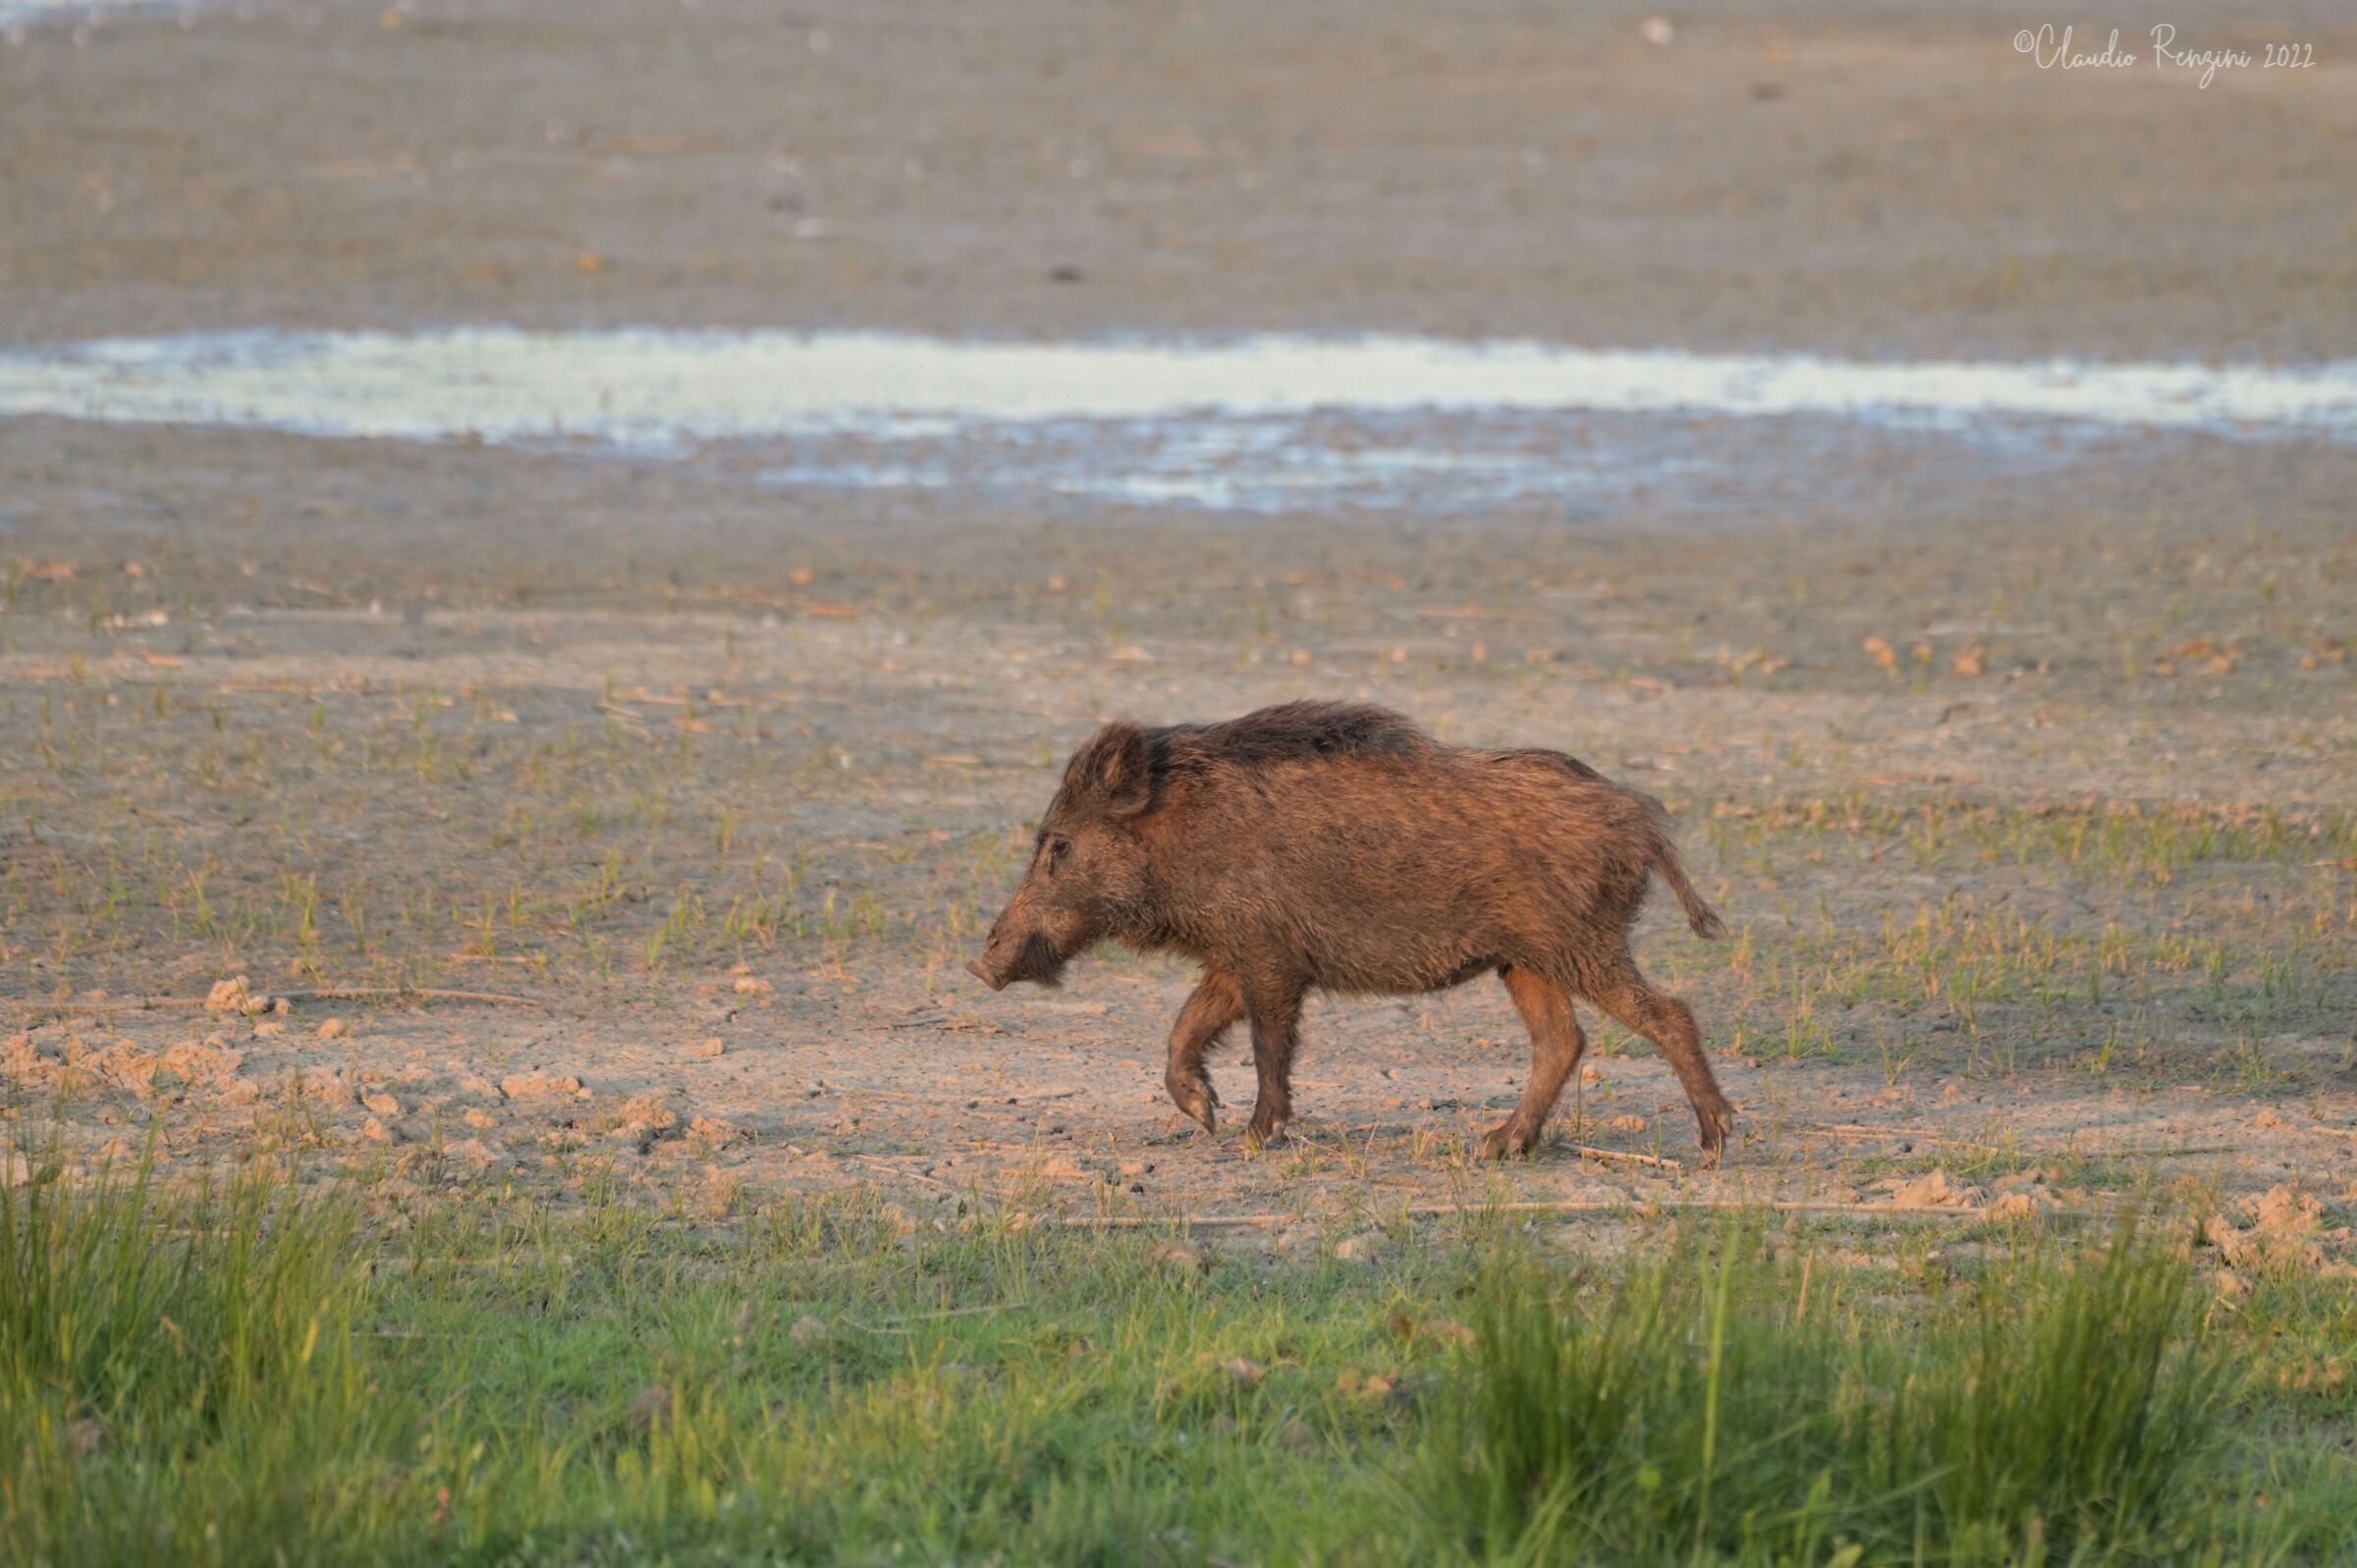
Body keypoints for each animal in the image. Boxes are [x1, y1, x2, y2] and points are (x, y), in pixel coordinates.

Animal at [966, 701, 1735, 1159]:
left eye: (1058, 845)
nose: (983, 963)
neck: (1182, 839)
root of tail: (1640, 816)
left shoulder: (1271, 958)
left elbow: (1267, 1045)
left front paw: (1252, 1135)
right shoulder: (1237, 955)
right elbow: (1186, 1028)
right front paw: (1206, 1114)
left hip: (1579, 944)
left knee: (1669, 1013)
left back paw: (1712, 1141)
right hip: (1525, 960)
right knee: (1562, 1040)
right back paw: (1495, 1145)